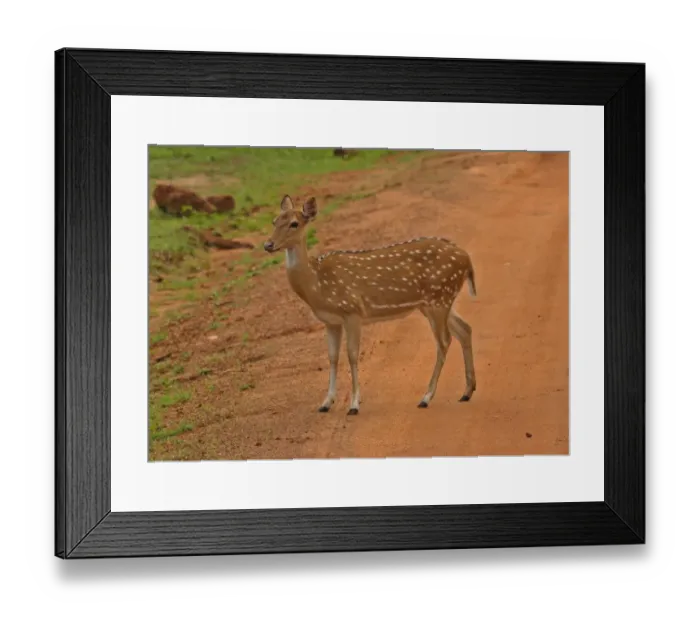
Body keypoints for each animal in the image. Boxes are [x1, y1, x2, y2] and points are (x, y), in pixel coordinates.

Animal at [263, 195, 477, 416]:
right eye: (274, 221)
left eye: (294, 223)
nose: (268, 244)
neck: (317, 285)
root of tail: (467, 259)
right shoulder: (331, 321)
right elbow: (332, 357)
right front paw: (326, 403)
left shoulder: (352, 311)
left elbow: (352, 355)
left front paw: (354, 404)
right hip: (434, 302)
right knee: (465, 329)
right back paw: (466, 392)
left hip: (439, 297)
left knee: (444, 341)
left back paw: (426, 398)